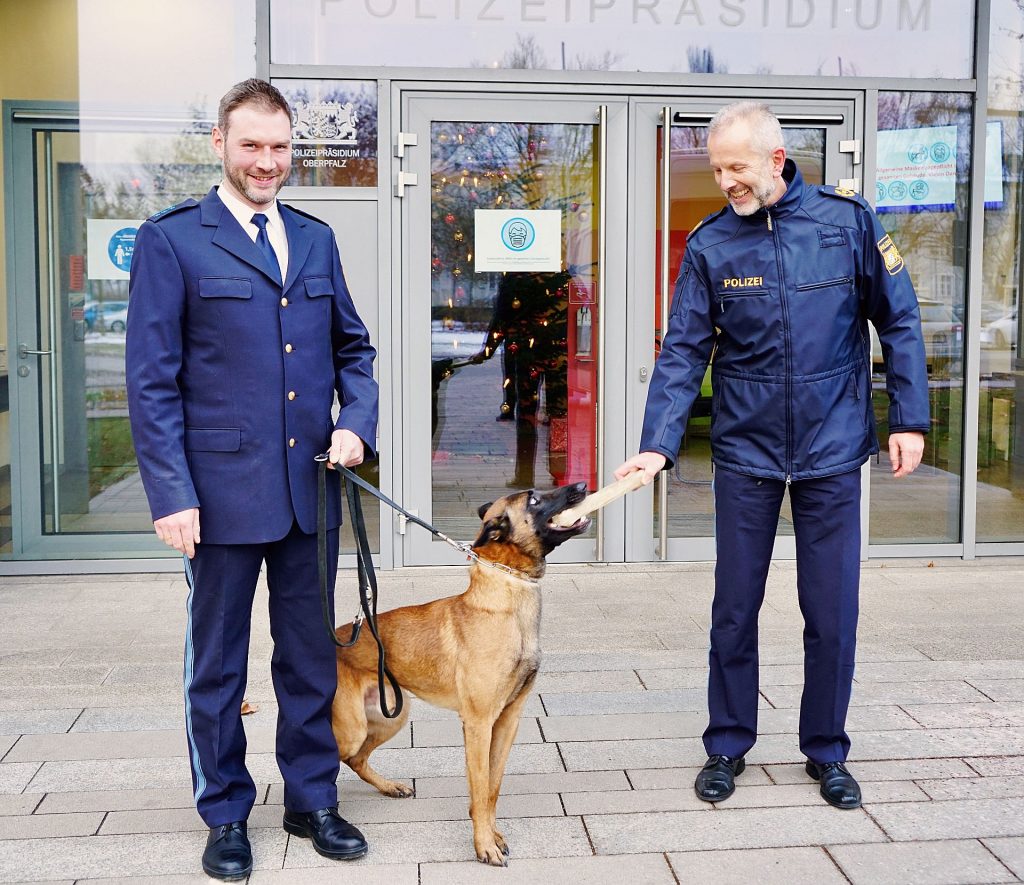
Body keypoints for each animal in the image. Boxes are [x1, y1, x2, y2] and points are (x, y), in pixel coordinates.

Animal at [331, 483, 593, 864]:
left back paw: (389, 786)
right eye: (533, 499)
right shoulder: (478, 723)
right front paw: (484, 844)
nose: (582, 486)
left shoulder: (507, 720)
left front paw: (492, 835)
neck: (506, 597)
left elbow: (492, 788)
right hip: (353, 727)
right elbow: (480, 785)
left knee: (356, 759)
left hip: (391, 715)